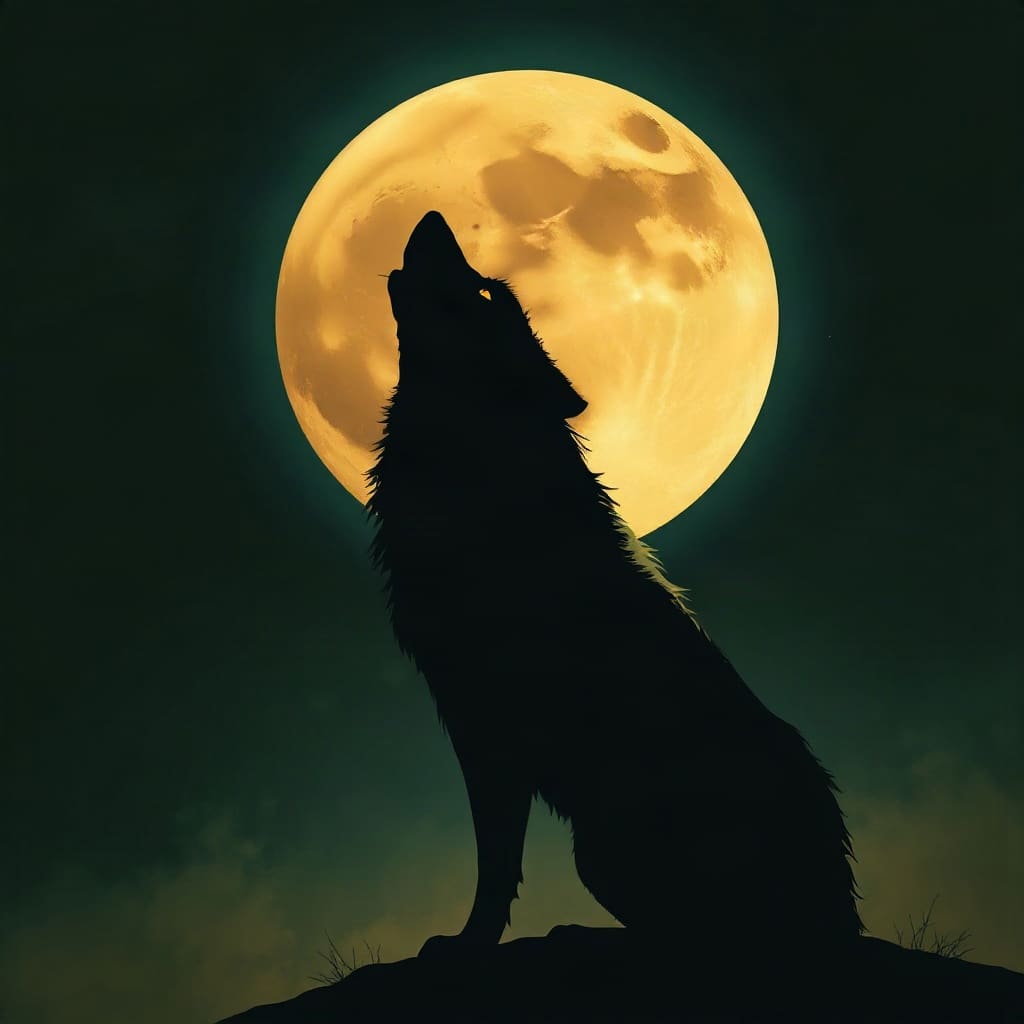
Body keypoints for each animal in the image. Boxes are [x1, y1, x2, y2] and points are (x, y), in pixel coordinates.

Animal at [366, 211, 862, 962]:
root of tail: (843, 909)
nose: (431, 217)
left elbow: (495, 862)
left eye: (481, 292)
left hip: (602, 849)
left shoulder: (488, 726)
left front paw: (467, 941)